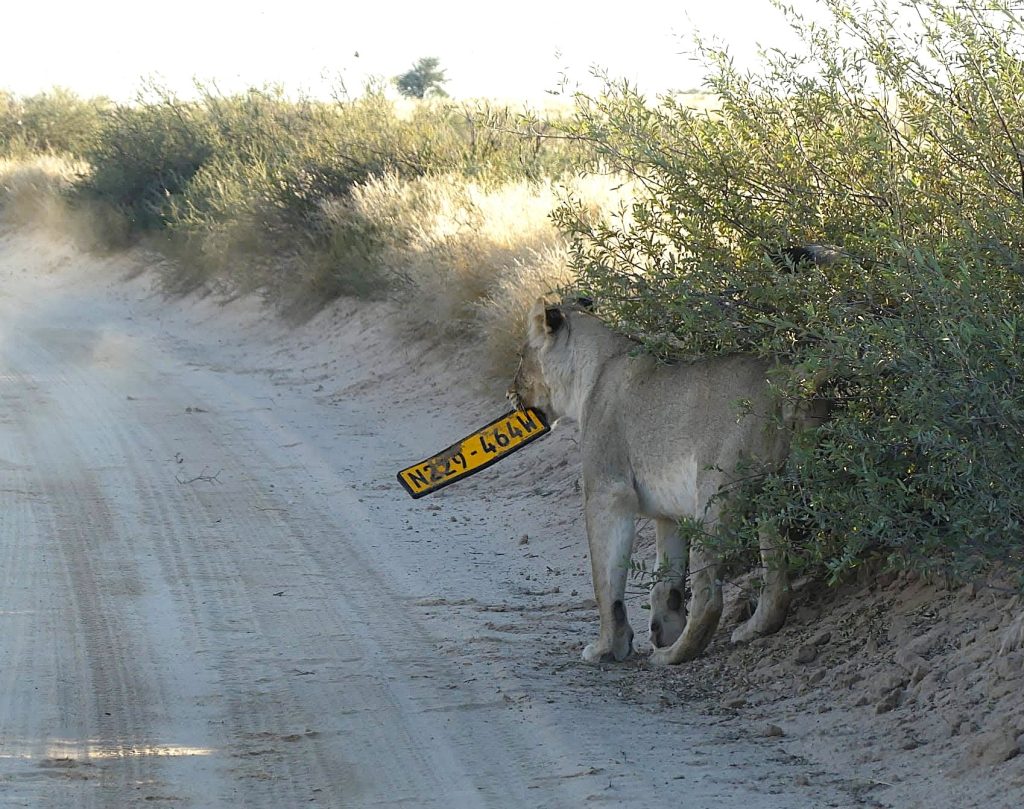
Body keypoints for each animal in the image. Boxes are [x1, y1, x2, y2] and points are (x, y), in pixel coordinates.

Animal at [508, 297, 825, 665]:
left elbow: (605, 580)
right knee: (776, 579)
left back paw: (672, 655)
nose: (509, 392)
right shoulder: (670, 515)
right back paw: (751, 629)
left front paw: (607, 647)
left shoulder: (607, 491)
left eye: (521, 355)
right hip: (775, 496)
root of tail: (788, 384)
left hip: (716, 495)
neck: (594, 368)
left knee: (709, 594)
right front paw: (663, 627)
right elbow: (665, 581)